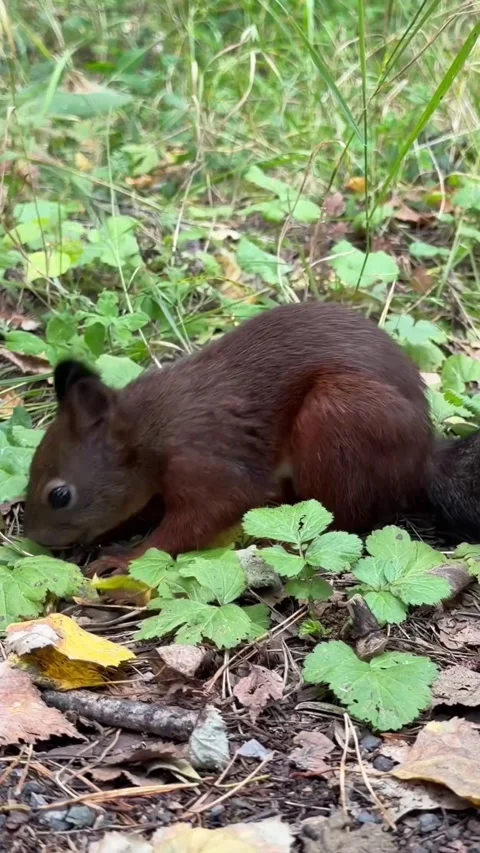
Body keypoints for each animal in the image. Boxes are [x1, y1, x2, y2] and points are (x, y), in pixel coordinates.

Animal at [24, 302, 433, 571]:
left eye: (59, 496)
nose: (38, 538)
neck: (148, 430)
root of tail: (423, 459)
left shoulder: (205, 461)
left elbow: (201, 518)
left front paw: (126, 558)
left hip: (337, 416)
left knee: (341, 517)